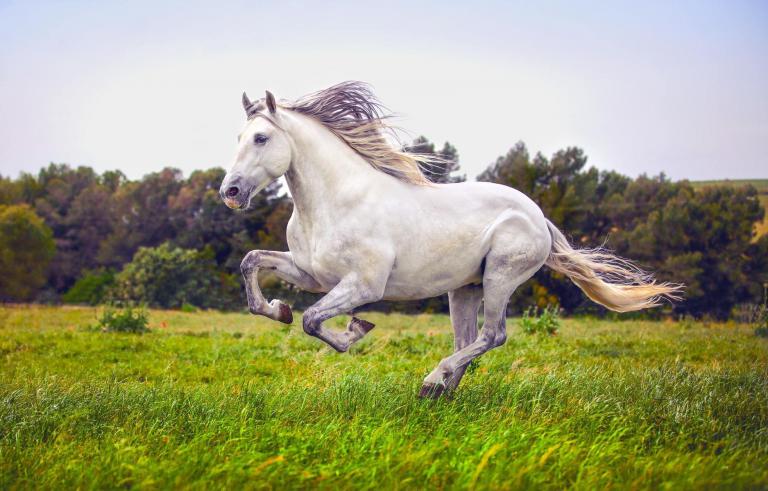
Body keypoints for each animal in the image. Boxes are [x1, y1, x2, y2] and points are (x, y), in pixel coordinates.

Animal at [219, 81, 682, 398]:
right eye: (238, 138)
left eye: (261, 138)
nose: (231, 192)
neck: (334, 201)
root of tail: (538, 216)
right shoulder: (311, 274)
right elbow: (252, 263)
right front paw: (277, 309)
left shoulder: (364, 285)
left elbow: (313, 320)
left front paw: (356, 328)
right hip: (464, 288)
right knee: (468, 340)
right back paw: (439, 392)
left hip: (499, 278)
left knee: (493, 336)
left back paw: (433, 380)